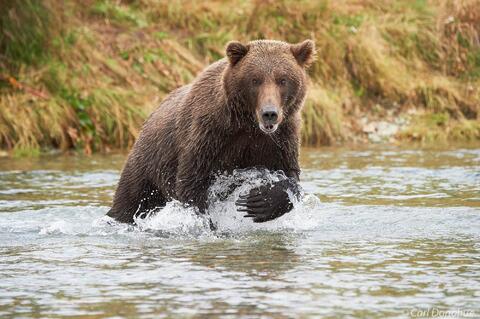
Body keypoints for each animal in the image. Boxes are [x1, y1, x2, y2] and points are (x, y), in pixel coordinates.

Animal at [108, 39, 316, 225]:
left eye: (282, 79)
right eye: (255, 79)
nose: (269, 114)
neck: (248, 124)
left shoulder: (281, 138)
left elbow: (289, 174)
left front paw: (260, 201)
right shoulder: (209, 133)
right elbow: (192, 182)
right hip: (148, 165)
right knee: (130, 201)